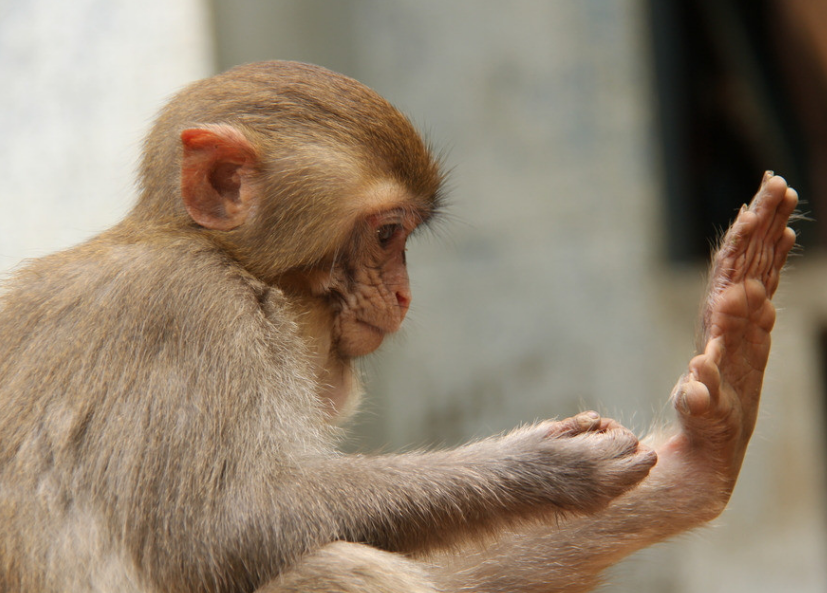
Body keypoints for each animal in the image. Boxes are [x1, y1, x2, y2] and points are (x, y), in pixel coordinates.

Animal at [0, 61, 800, 592]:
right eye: (387, 235)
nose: (404, 292)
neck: (212, 254)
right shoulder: (194, 315)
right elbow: (220, 529)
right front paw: (540, 467)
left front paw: (700, 455)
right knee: (331, 563)